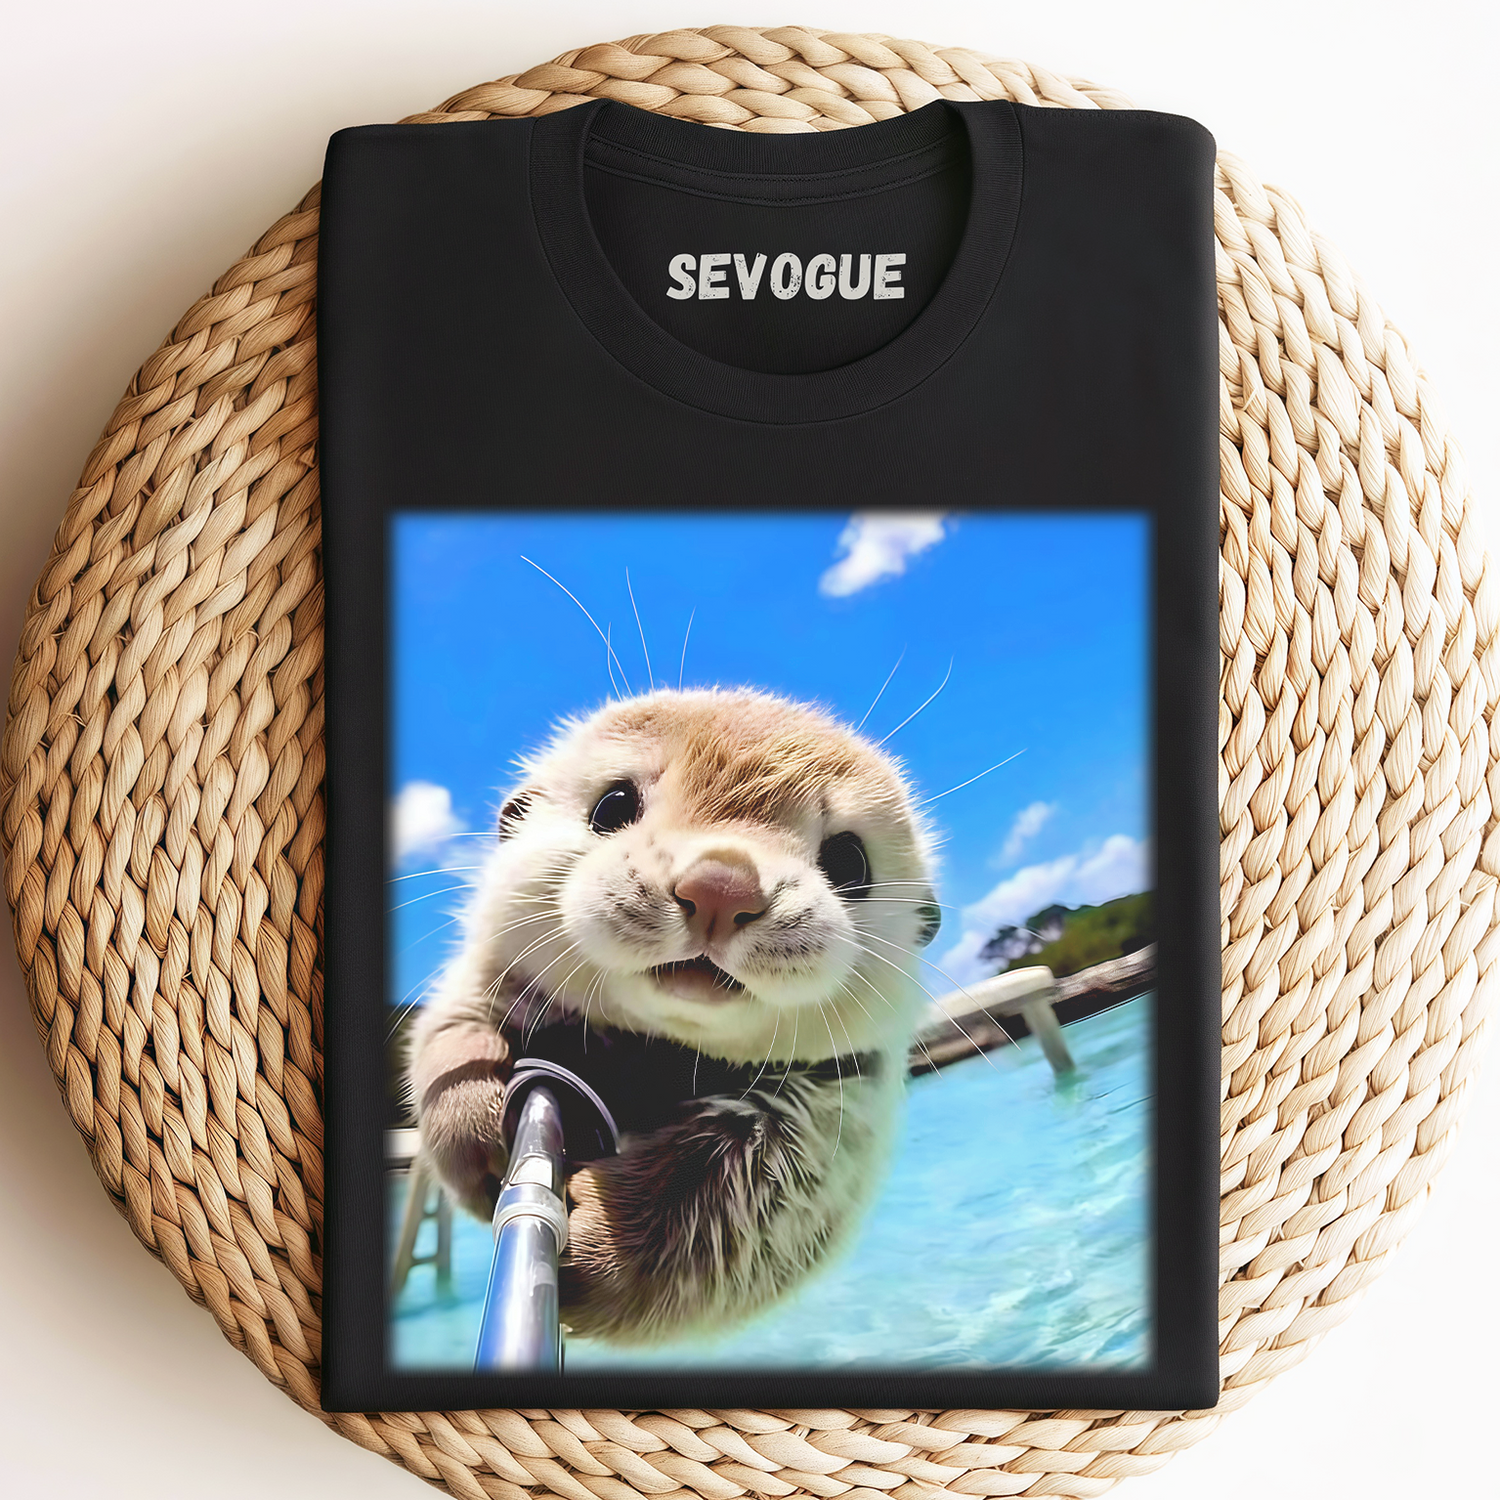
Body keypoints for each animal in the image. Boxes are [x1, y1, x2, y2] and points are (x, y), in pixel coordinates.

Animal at [407, 687, 941, 1344]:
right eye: (612, 804)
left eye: (850, 862)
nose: (723, 886)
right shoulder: (488, 973)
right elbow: (452, 1030)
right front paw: (473, 1121)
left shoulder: (837, 1118)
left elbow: (730, 1205)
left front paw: (596, 1248)